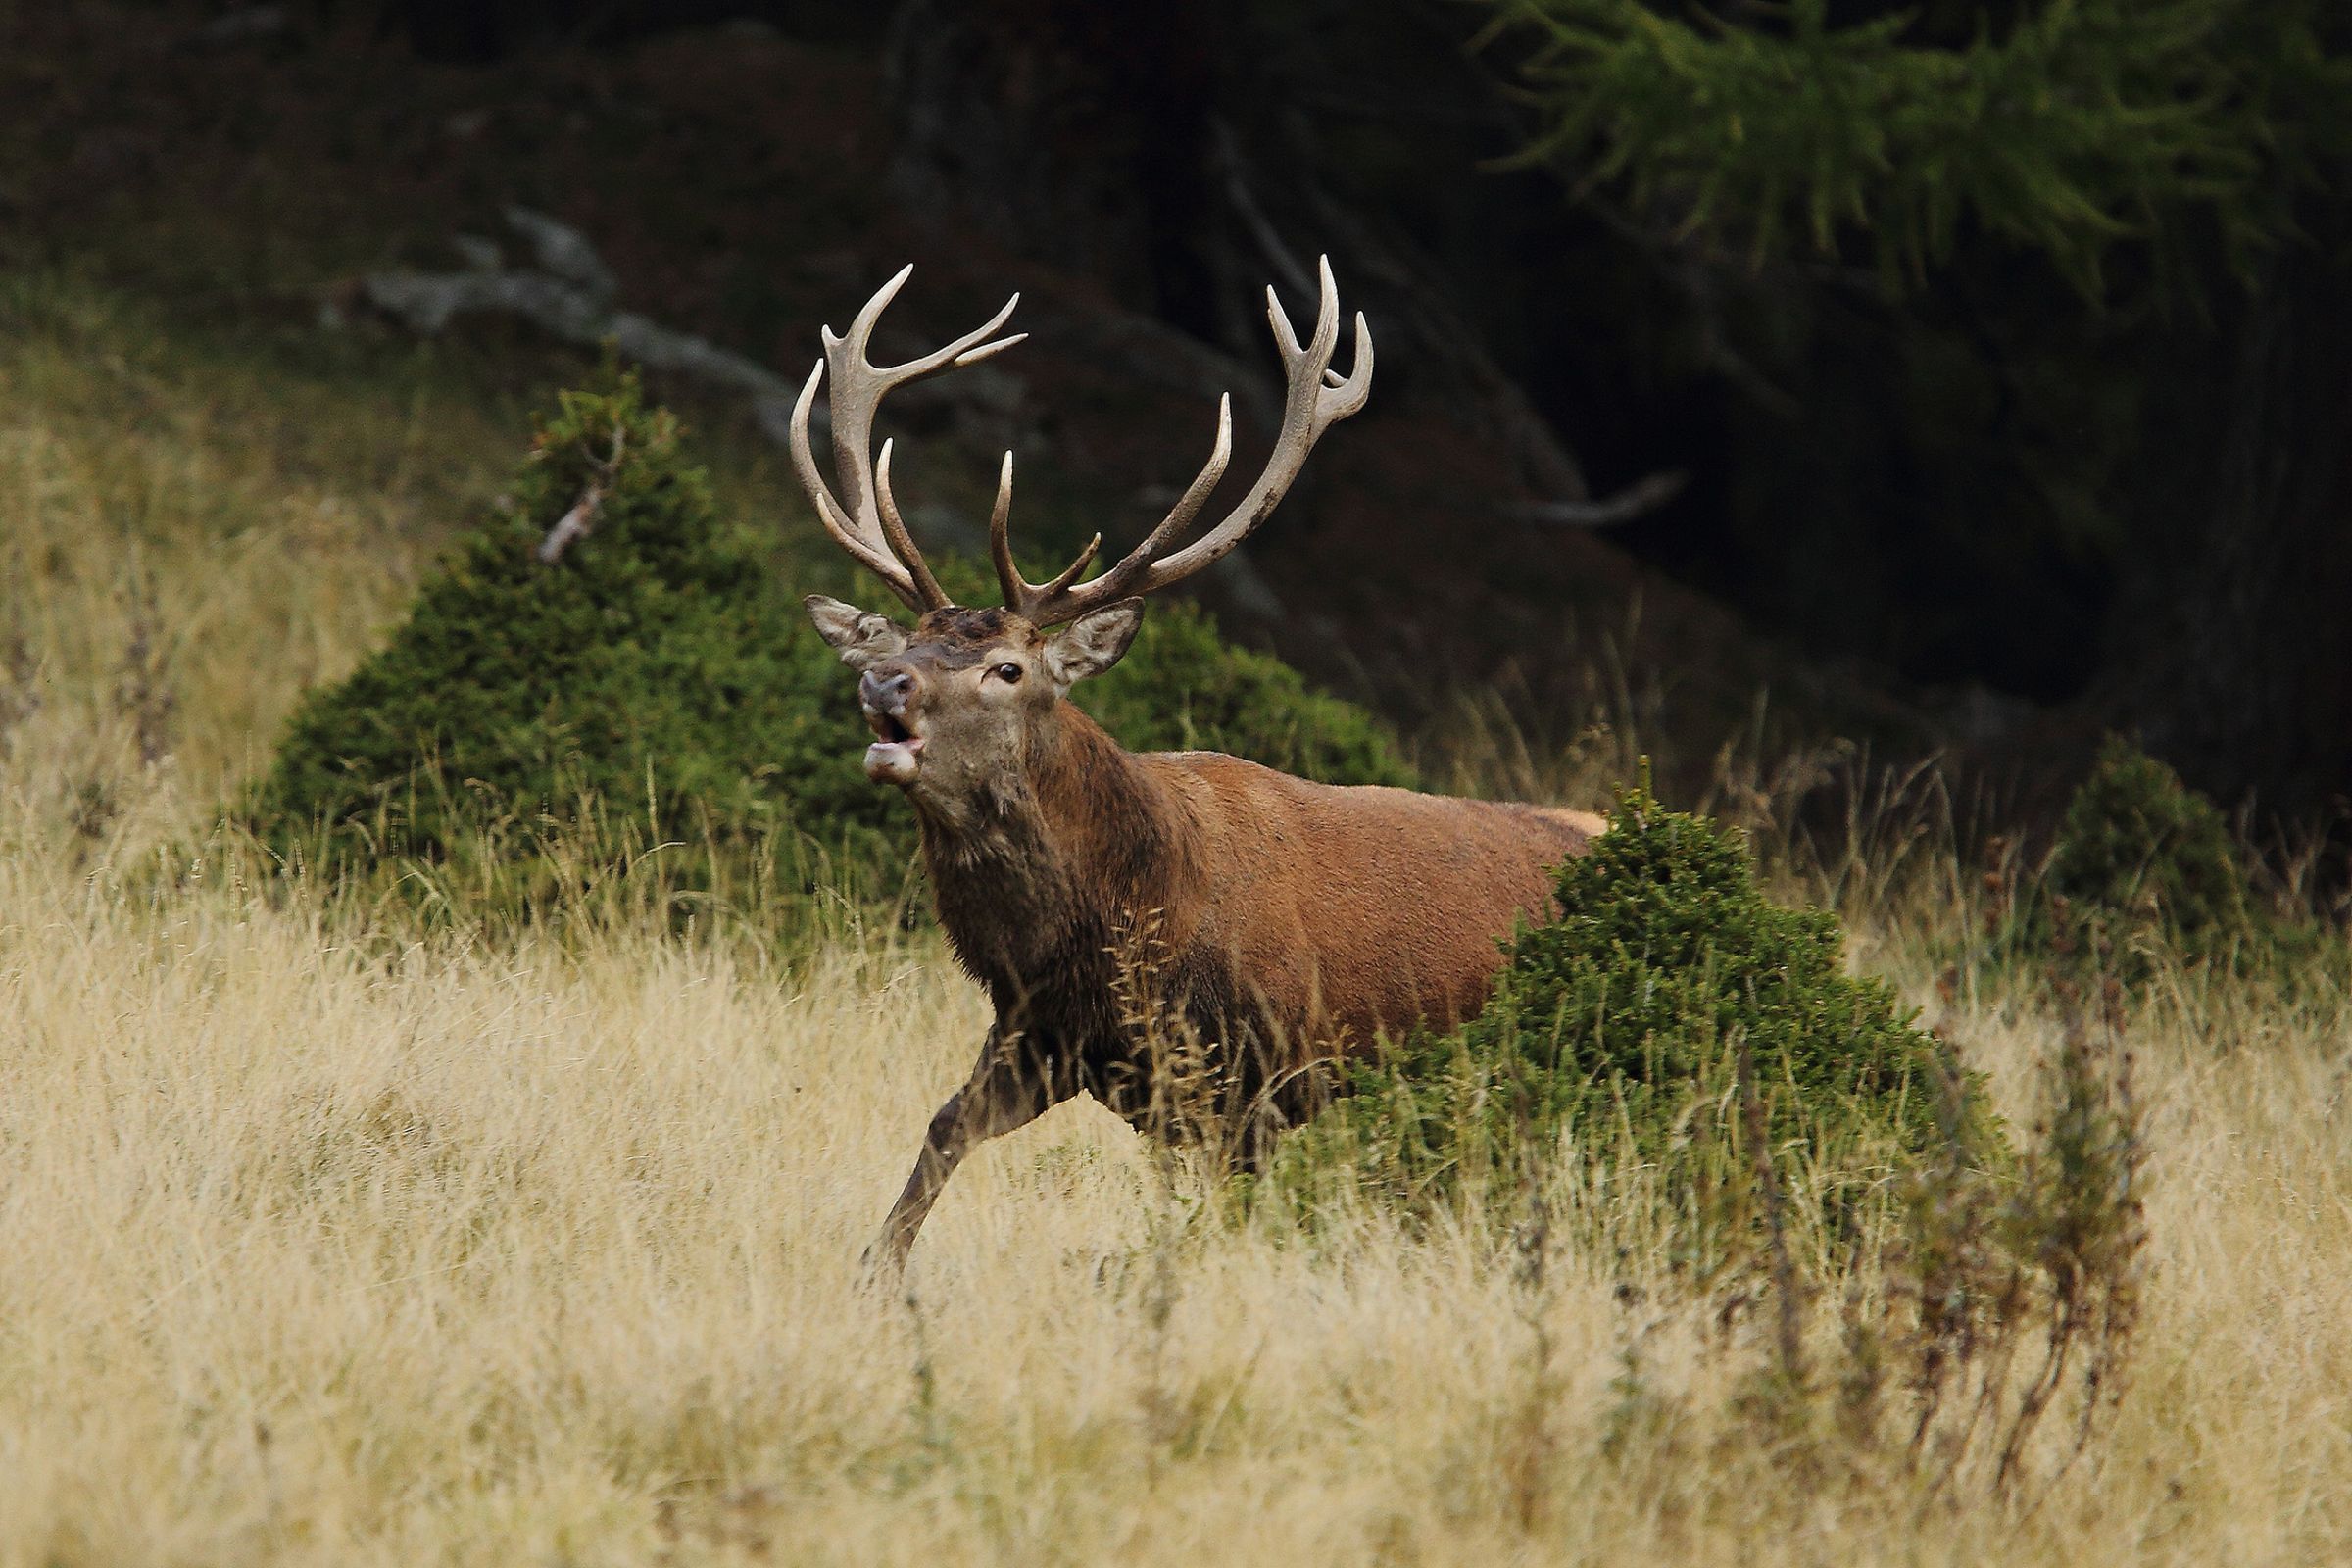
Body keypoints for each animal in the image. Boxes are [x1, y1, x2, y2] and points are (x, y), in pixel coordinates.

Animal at [790, 259, 1605, 1271]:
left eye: (1007, 668)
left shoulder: (1264, 1078)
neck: (1120, 937)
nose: (883, 683)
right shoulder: (1039, 1036)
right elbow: (944, 1131)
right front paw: (874, 1274)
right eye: (901, 642)